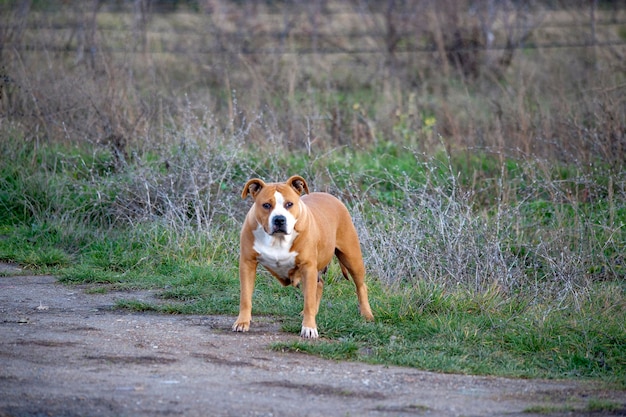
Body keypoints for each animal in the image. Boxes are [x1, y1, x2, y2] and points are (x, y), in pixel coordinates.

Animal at [233, 174, 370, 336]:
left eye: (289, 204)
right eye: (266, 205)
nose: (279, 219)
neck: (278, 239)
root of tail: (331, 196)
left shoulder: (308, 267)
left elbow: (309, 301)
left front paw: (309, 328)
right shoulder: (247, 264)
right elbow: (245, 297)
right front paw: (242, 322)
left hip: (351, 258)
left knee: (361, 285)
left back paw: (367, 315)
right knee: (319, 285)